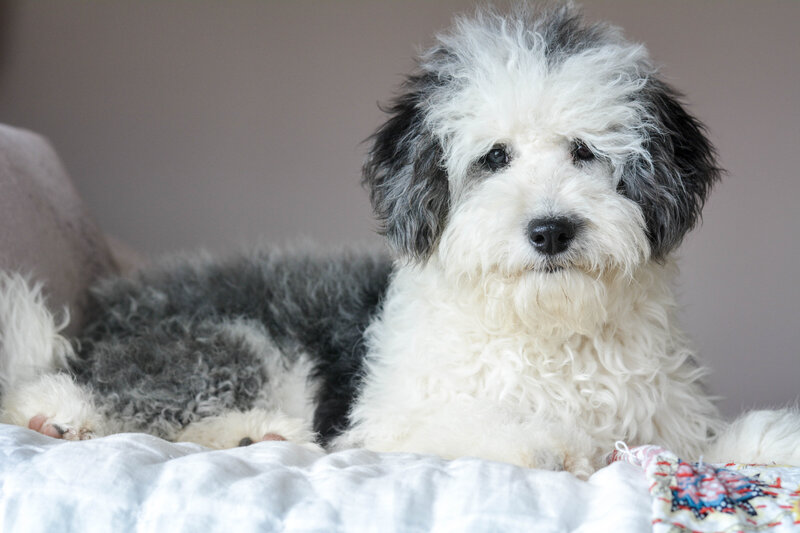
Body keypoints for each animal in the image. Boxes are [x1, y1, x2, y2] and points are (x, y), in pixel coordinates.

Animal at [1, 3, 800, 478]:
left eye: (584, 151)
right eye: (494, 158)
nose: (550, 229)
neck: (546, 333)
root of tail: (96, 322)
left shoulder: (667, 419)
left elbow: (709, 444)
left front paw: (773, 439)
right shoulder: (388, 420)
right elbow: (479, 427)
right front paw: (545, 443)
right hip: (236, 343)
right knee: (109, 396)